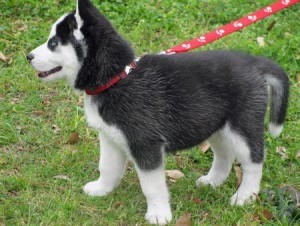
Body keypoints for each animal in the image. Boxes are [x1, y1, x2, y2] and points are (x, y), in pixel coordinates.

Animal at [27, 0, 288, 224]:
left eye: (53, 43)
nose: (28, 56)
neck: (117, 78)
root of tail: (254, 63)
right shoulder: (110, 137)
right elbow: (107, 167)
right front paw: (102, 189)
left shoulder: (145, 144)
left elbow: (152, 186)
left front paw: (159, 214)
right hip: (215, 125)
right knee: (225, 155)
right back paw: (212, 181)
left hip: (242, 127)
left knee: (254, 161)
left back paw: (245, 196)